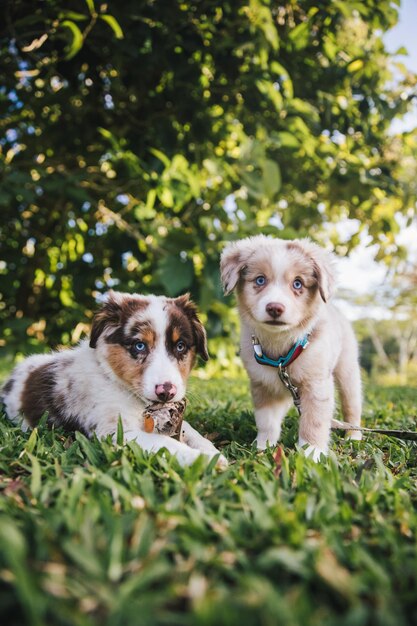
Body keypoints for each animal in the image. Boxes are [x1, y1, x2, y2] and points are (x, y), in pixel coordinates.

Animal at [1, 290, 226, 466]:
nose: (166, 392)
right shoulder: (115, 432)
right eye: (139, 345)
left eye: (180, 346)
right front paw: (204, 460)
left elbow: (190, 430)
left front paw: (211, 451)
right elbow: (167, 444)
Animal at [221, 234, 360, 458]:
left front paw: (312, 452)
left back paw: (354, 436)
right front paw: (263, 446)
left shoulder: (316, 385)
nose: (275, 308)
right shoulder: (263, 385)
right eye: (260, 280)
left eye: (297, 283)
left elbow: (314, 422)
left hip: (348, 372)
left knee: (352, 406)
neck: (280, 346)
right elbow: (267, 421)